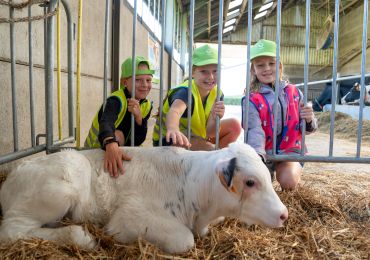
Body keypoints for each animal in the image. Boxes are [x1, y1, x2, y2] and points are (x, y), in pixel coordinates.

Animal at [0, 142, 290, 254]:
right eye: (250, 182)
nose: (284, 214)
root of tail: (14, 173)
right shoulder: (130, 216)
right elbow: (184, 239)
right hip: (63, 182)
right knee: (11, 230)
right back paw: (81, 237)